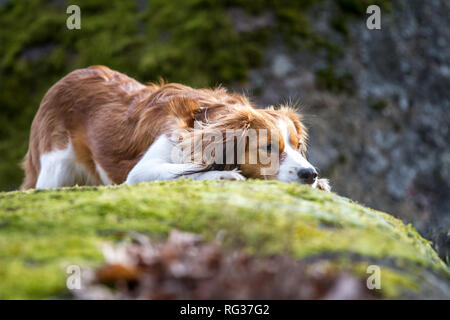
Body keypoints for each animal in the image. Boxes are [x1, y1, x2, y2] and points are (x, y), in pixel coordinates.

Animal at [20, 65, 330, 190]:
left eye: (298, 146)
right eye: (267, 147)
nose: (310, 174)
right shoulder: (142, 171)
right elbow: (188, 171)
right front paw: (224, 175)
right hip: (55, 168)